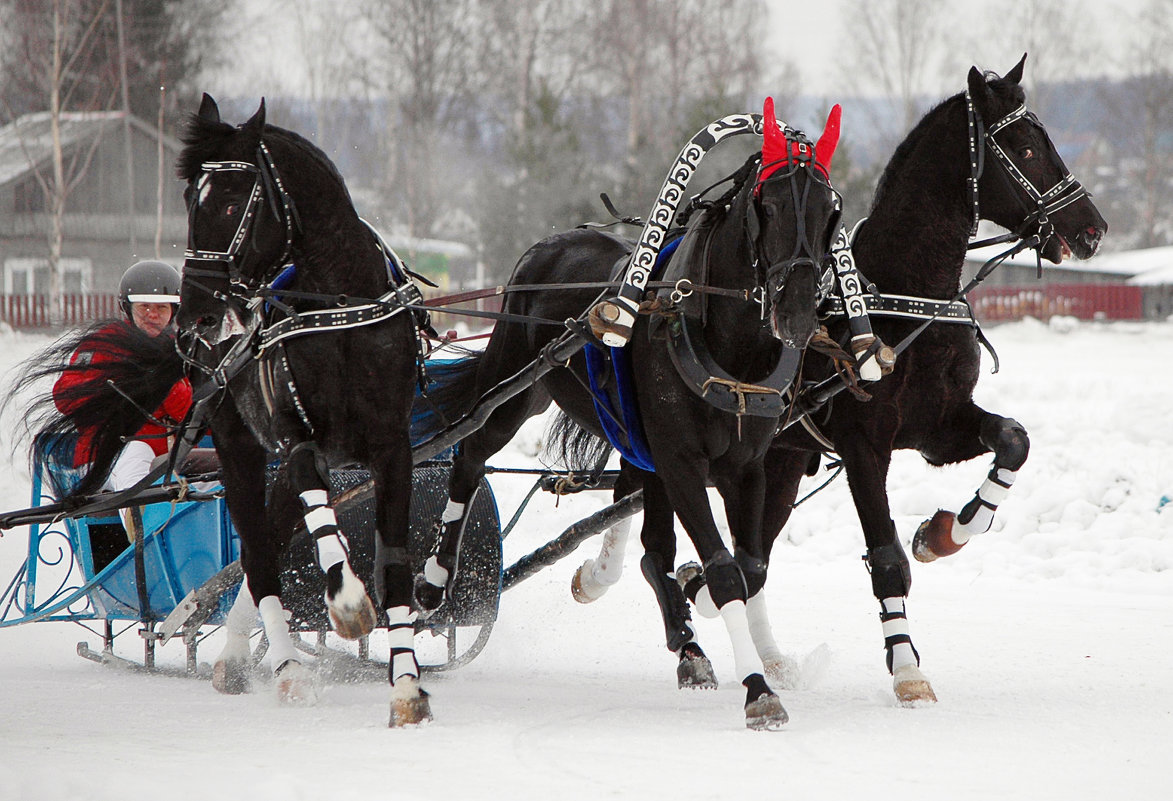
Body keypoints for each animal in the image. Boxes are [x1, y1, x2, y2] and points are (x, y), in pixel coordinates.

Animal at [173, 95, 431, 727]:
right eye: (190, 200)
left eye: (233, 202)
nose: (194, 315)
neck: (337, 305)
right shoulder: (297, 443)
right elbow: (323, 529)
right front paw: (348, 604)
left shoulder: (392, 447)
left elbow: (394, 565)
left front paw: (406, 685)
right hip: (238, 444)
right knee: (260, 552)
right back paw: (285, 666)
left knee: (269, 535)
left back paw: (238, 654)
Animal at [415, 98, 844, 727]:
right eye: (767, 205)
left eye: (830, 210)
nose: (796, 312)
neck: (723, 339)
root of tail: (549, 244)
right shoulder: (683, 461)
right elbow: (723, 569)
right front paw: (758, 689)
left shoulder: (746, 467)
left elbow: (749, 566)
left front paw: (708, 618)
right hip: (516, 388)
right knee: (470, 452)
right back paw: (433, 581)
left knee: (653, 549)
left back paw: (686, 645)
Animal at [647, 56, 1102, 703]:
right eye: (1026, 148)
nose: (1092, 228)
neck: (904, 296)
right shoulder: (865, 444)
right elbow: (885, 556)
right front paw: (907, 664)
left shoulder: (939, 426)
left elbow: (1013, 440)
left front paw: (946, 532)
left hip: (782, 462)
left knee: (754, 551)